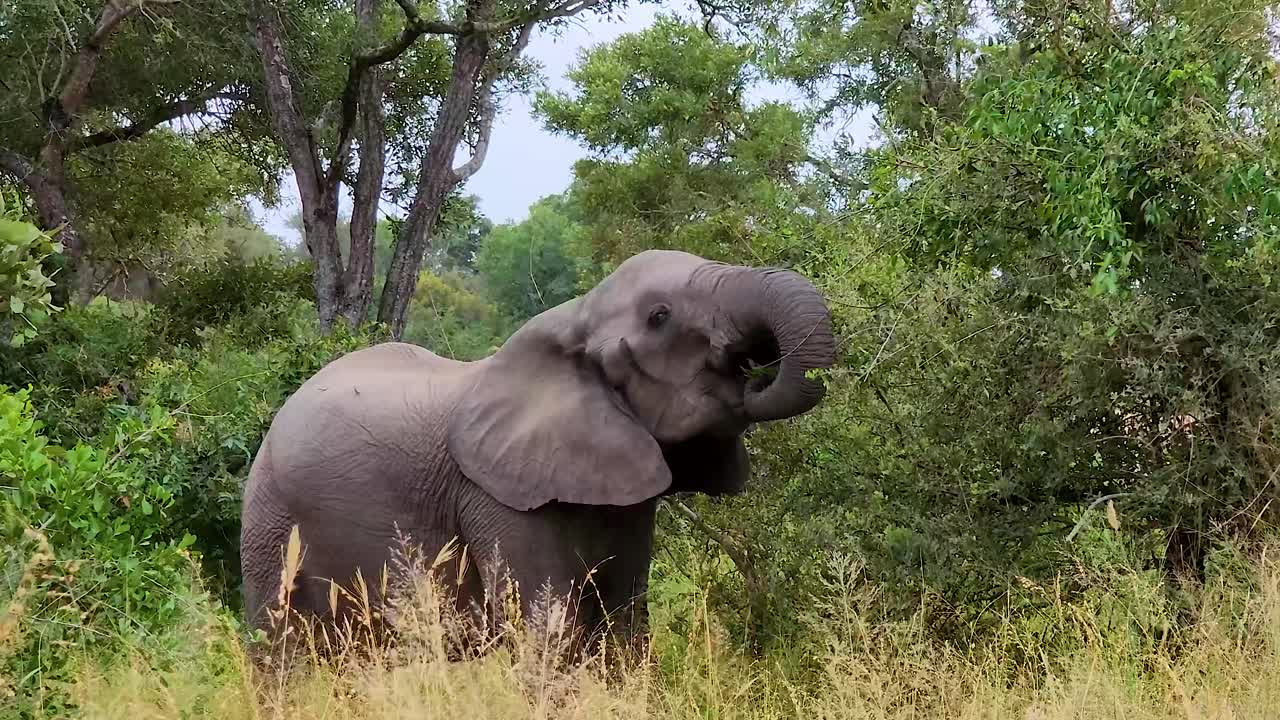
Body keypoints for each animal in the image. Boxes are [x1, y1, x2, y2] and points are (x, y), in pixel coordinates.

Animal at [238, 248, 836, 658]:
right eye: (660, 317)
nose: (754, 371)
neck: (574, 316)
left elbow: (624, 620)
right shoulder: (492, 497)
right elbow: (546, 627)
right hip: (270, 520)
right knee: (281, 648)